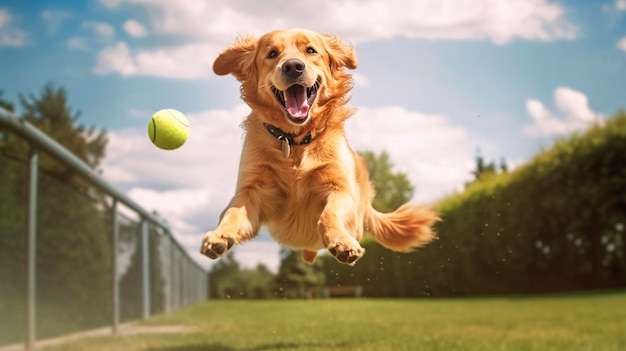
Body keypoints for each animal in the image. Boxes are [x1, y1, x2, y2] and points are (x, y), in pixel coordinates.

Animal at [201, 30, 438, 266]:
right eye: (272, 53)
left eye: (310, 50)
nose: (293, 66)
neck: (294, 140)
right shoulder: (251, 189)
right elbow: (233, 212)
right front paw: (219, 235)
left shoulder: (341, 187)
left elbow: (329, 213)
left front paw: (341, 241)